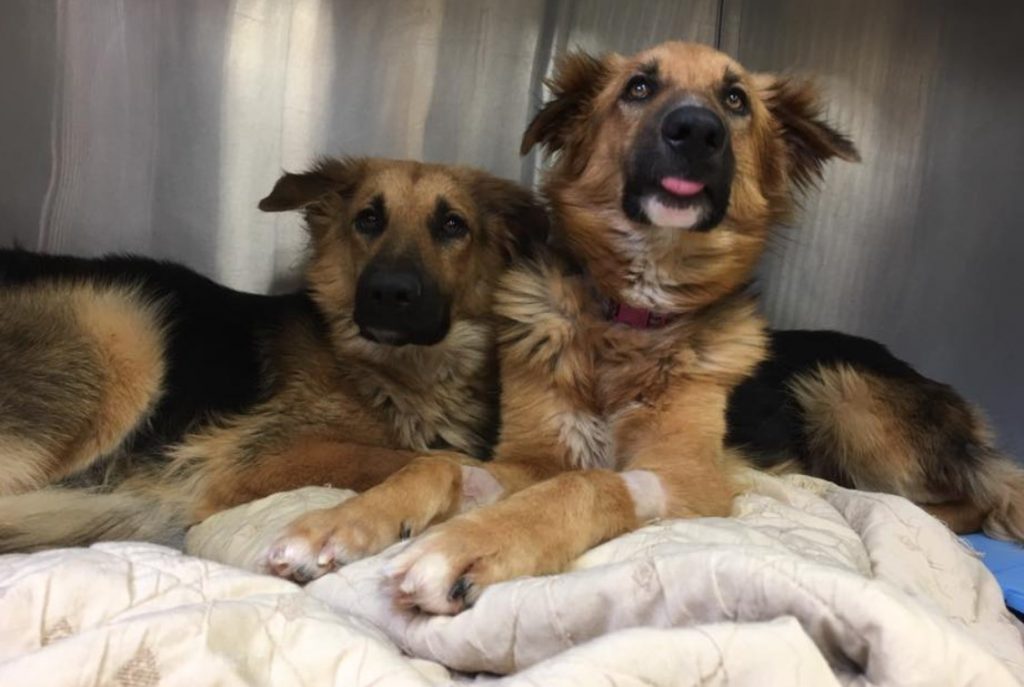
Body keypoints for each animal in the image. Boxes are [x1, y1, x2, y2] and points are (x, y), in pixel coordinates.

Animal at [0, 157, 548, 552]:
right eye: (368, 219)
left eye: (453, 225)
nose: (388, 293)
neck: (391, 374)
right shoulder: (252, 459)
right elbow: (433, 459)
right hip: (117, 323)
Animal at [268, 43, 1024, 614]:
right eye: (638, 87)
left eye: (736, 100)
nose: (696, 130)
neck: (629, 321)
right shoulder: (532, 456)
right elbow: (441, 463)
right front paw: (338, 524)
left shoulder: (691, 481)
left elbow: (592, 484)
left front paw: (466, 545)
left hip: (840, 394)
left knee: (954, 502)